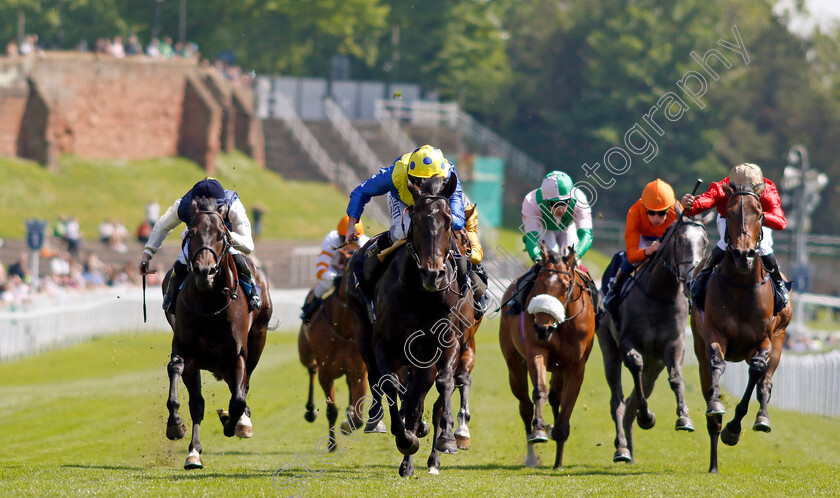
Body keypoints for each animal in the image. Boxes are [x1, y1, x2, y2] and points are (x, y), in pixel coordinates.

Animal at [162, 196, 272, 470]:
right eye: (191, 233)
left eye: (222, 235)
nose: (205, 271)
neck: (209, 305)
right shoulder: (186, 351)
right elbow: (178, 375)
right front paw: (175, 426)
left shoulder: (237, 355)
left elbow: (239, 399)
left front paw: (234, 423)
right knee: (199, 403)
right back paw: (194, 452)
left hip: (257, 341)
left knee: (242, 387)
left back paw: (240, 421)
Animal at [300, 245, 370, 452]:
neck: (343, 329)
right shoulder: (326, 373)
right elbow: (331, 409)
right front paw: (332, 444)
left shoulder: (359, 371)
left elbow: (358, 414)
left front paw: (349, 422)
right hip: (305, 353)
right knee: (311, 368)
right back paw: (310, 411)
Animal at [498, 245, 596, 470]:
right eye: (538, 284)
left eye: (566, 286)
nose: (542, 329)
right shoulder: (537, 351)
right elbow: (540, 391)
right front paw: (540, 430)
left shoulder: (576, 367)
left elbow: (567, 404)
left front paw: (558, 449)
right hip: (514, 367)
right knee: (525, 406)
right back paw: (531, 456)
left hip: (559, 369)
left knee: (556, 397)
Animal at [596, 217, 708, 462]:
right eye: (679, 239)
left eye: (704, 242)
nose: (690, 280)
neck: (659, 294)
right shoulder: (628, 342)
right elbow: (635, 365)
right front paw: (646, 417)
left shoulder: (675, 344)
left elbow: (676, 378)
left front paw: (684, 418)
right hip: (609, 350)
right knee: (617, 400)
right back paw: (622, 447)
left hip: (655, 365)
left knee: (635, 396)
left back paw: (629, 443)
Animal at [688, 185, 788, 472]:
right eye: (729, 213)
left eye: (760, 214)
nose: (743, 255)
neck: (743, 285)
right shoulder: (714, 334)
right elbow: (716, 364)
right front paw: (717, 407)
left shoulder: (764, 340)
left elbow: (757, 370)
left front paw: (734, 429)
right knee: (708, 377)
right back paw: (713, 462)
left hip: (779, 340)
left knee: (765, 381)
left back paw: (762, 417)